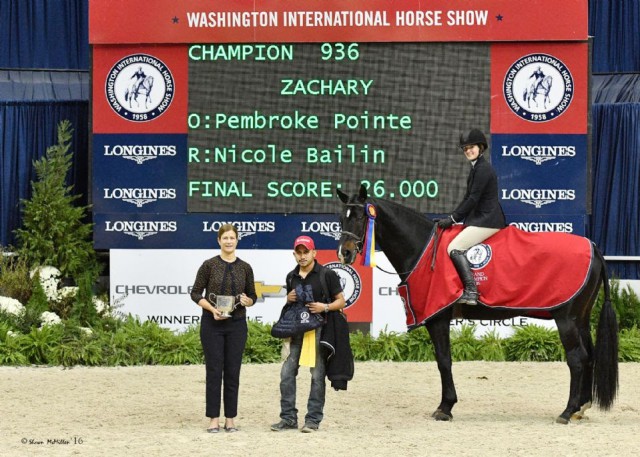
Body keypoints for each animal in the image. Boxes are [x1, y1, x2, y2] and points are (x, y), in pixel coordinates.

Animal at [338, 185, 616, 424]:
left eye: (361, 218)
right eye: (341, 218)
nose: (345, 253)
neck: (423, 250)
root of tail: (592, 246)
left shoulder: (438, 318)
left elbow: (444, 360)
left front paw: (445, 408)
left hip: (566, 319)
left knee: (577, 358)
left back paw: (567, 412)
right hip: (580, 318)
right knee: (589, 355)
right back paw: (581, 408)